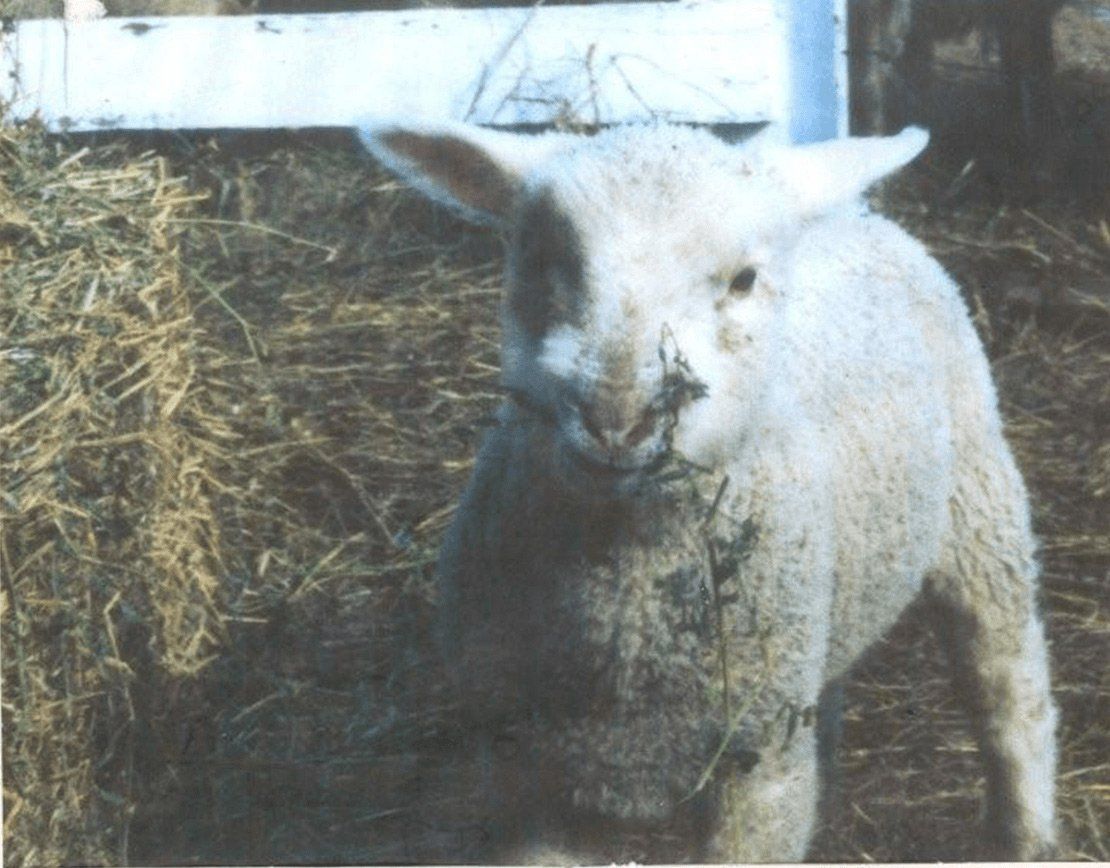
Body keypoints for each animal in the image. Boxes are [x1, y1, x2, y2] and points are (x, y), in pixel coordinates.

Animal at [358, 118, 1059, 863]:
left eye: (744, 279)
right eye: (546, 258)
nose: (617, 420)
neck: (631, 602)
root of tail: (854, 209)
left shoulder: (759, 776)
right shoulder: (530, 781)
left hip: (981, 508)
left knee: (1010, 691)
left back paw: (1027, 833)